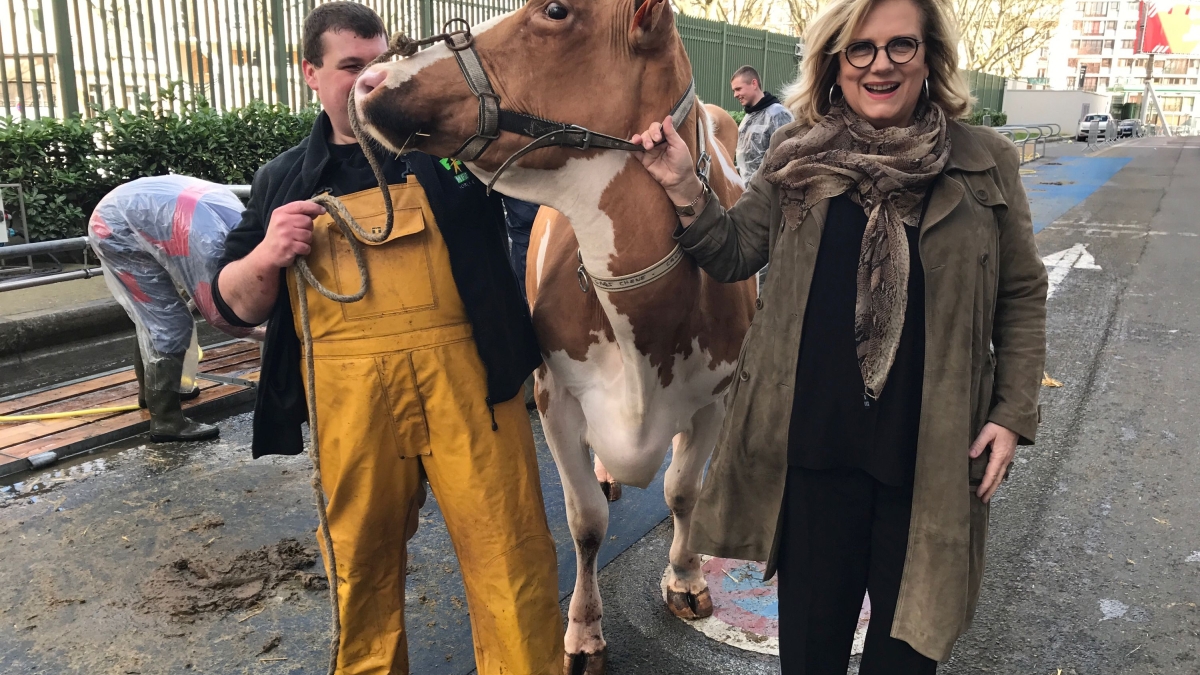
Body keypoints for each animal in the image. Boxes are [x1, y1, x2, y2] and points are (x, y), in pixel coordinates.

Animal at [350, 1, 753, 667]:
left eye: (556, 11)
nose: (368, 81)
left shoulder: (715, 397)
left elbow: (682, 491)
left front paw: (687, 577)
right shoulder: (555, 394)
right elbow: (585, 521)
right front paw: (584, 632)